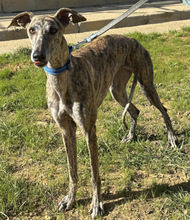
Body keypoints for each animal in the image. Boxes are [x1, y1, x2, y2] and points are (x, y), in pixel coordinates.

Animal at [8, 8, 178, 218]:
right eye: (31, 30)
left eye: (53, 30)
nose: (37, 56)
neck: (62, 79)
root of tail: (131, 38)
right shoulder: (66, 130)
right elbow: (72, 170)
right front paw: (69, 199)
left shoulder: (89, 129)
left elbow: (94, 173)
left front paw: (97, 203)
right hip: (117, 90)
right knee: (135, 110)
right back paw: (130, 136)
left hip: (146, 84)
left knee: (163, 110)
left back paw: (172, 138)